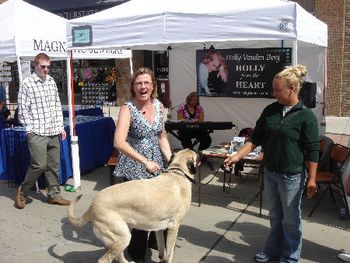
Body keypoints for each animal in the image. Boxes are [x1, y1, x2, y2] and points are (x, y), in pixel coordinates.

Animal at [67, 150, 197, 262]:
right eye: (197, 156)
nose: (200, 151)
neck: (178, 172)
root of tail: (92, 205)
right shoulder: (173, 227)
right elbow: (170, 253)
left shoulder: (159, 229)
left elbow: (162, 250)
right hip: (122, 237)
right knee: (104, 260)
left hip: (121, 236)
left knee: (119, 256)